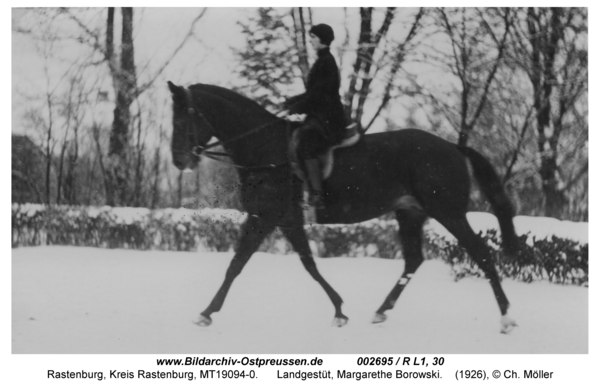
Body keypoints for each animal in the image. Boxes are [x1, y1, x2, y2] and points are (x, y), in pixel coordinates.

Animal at [166, 81, 516, 334]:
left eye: (184, 116)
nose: (179, 161)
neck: (266, 148)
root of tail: (453, 147)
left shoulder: (266, 217)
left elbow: (241, 264)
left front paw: (206, 312)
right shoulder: (282, 220)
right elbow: (301, 264)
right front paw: (339, 309)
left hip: (449, 213)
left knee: (481, 254)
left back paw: (507, 318)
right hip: (410, 214)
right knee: (414, 260)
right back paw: (381, 311)